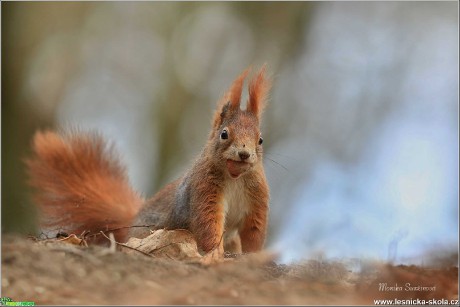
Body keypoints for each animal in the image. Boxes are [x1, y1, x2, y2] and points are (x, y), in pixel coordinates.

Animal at [27, 65, 272, 260]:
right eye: (224, 134)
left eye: (260, 139)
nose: (244, 154)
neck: (235, 177)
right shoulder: (204, 190)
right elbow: (209, 225)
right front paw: (215, 254)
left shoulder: (256, 200)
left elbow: (253, 232)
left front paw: (255, 257)